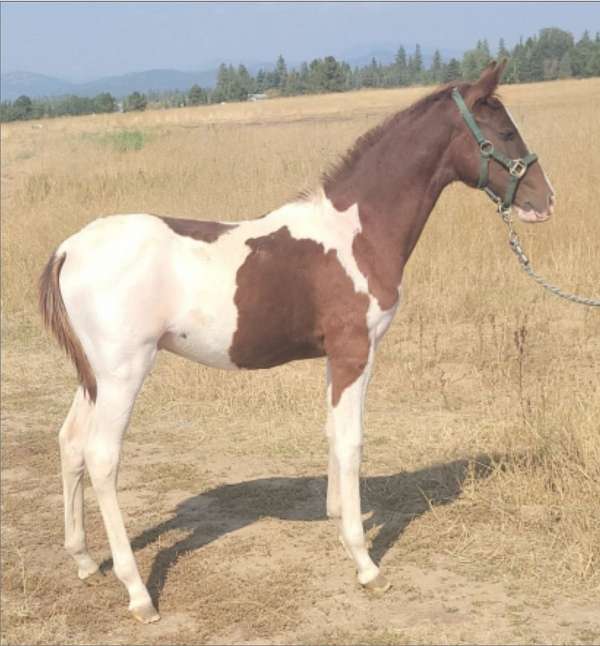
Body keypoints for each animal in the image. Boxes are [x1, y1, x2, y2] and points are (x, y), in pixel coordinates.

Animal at [39, 60, 554, 623]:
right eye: (504, 131)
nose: (544, 201)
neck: (357, 233)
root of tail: (71, 248)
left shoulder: (333, 357)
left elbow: (332, 433)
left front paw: (336, 517)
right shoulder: (355, 353)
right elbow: (352, 442)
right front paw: (364, 562)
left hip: (94, 378)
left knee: (70, 443)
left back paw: (84, 561)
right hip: (123, 373)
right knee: (102, 457)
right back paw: (138, 593)